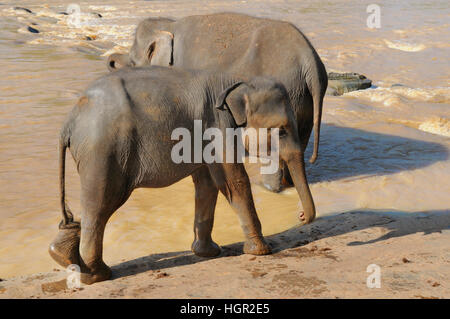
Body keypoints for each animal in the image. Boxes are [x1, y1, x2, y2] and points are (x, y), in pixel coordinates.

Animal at [50, 66, 316, 284]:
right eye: (281, 131)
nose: (301, 215)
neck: (238, 80)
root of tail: (68, 122)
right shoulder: (218, 125)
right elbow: (233, 181)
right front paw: (261, 251)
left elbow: (207, 184)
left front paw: (208, 253)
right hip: (104, 151)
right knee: (101, 204)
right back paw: (97, 275)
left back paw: (62, 255)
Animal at [107, 11, 328, 192]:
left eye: (133, 61)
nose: (110, 62)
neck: (169, 25)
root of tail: (310, 61)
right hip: (303, 101)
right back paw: (287, 184)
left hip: (286, 97)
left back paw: (267, 187)